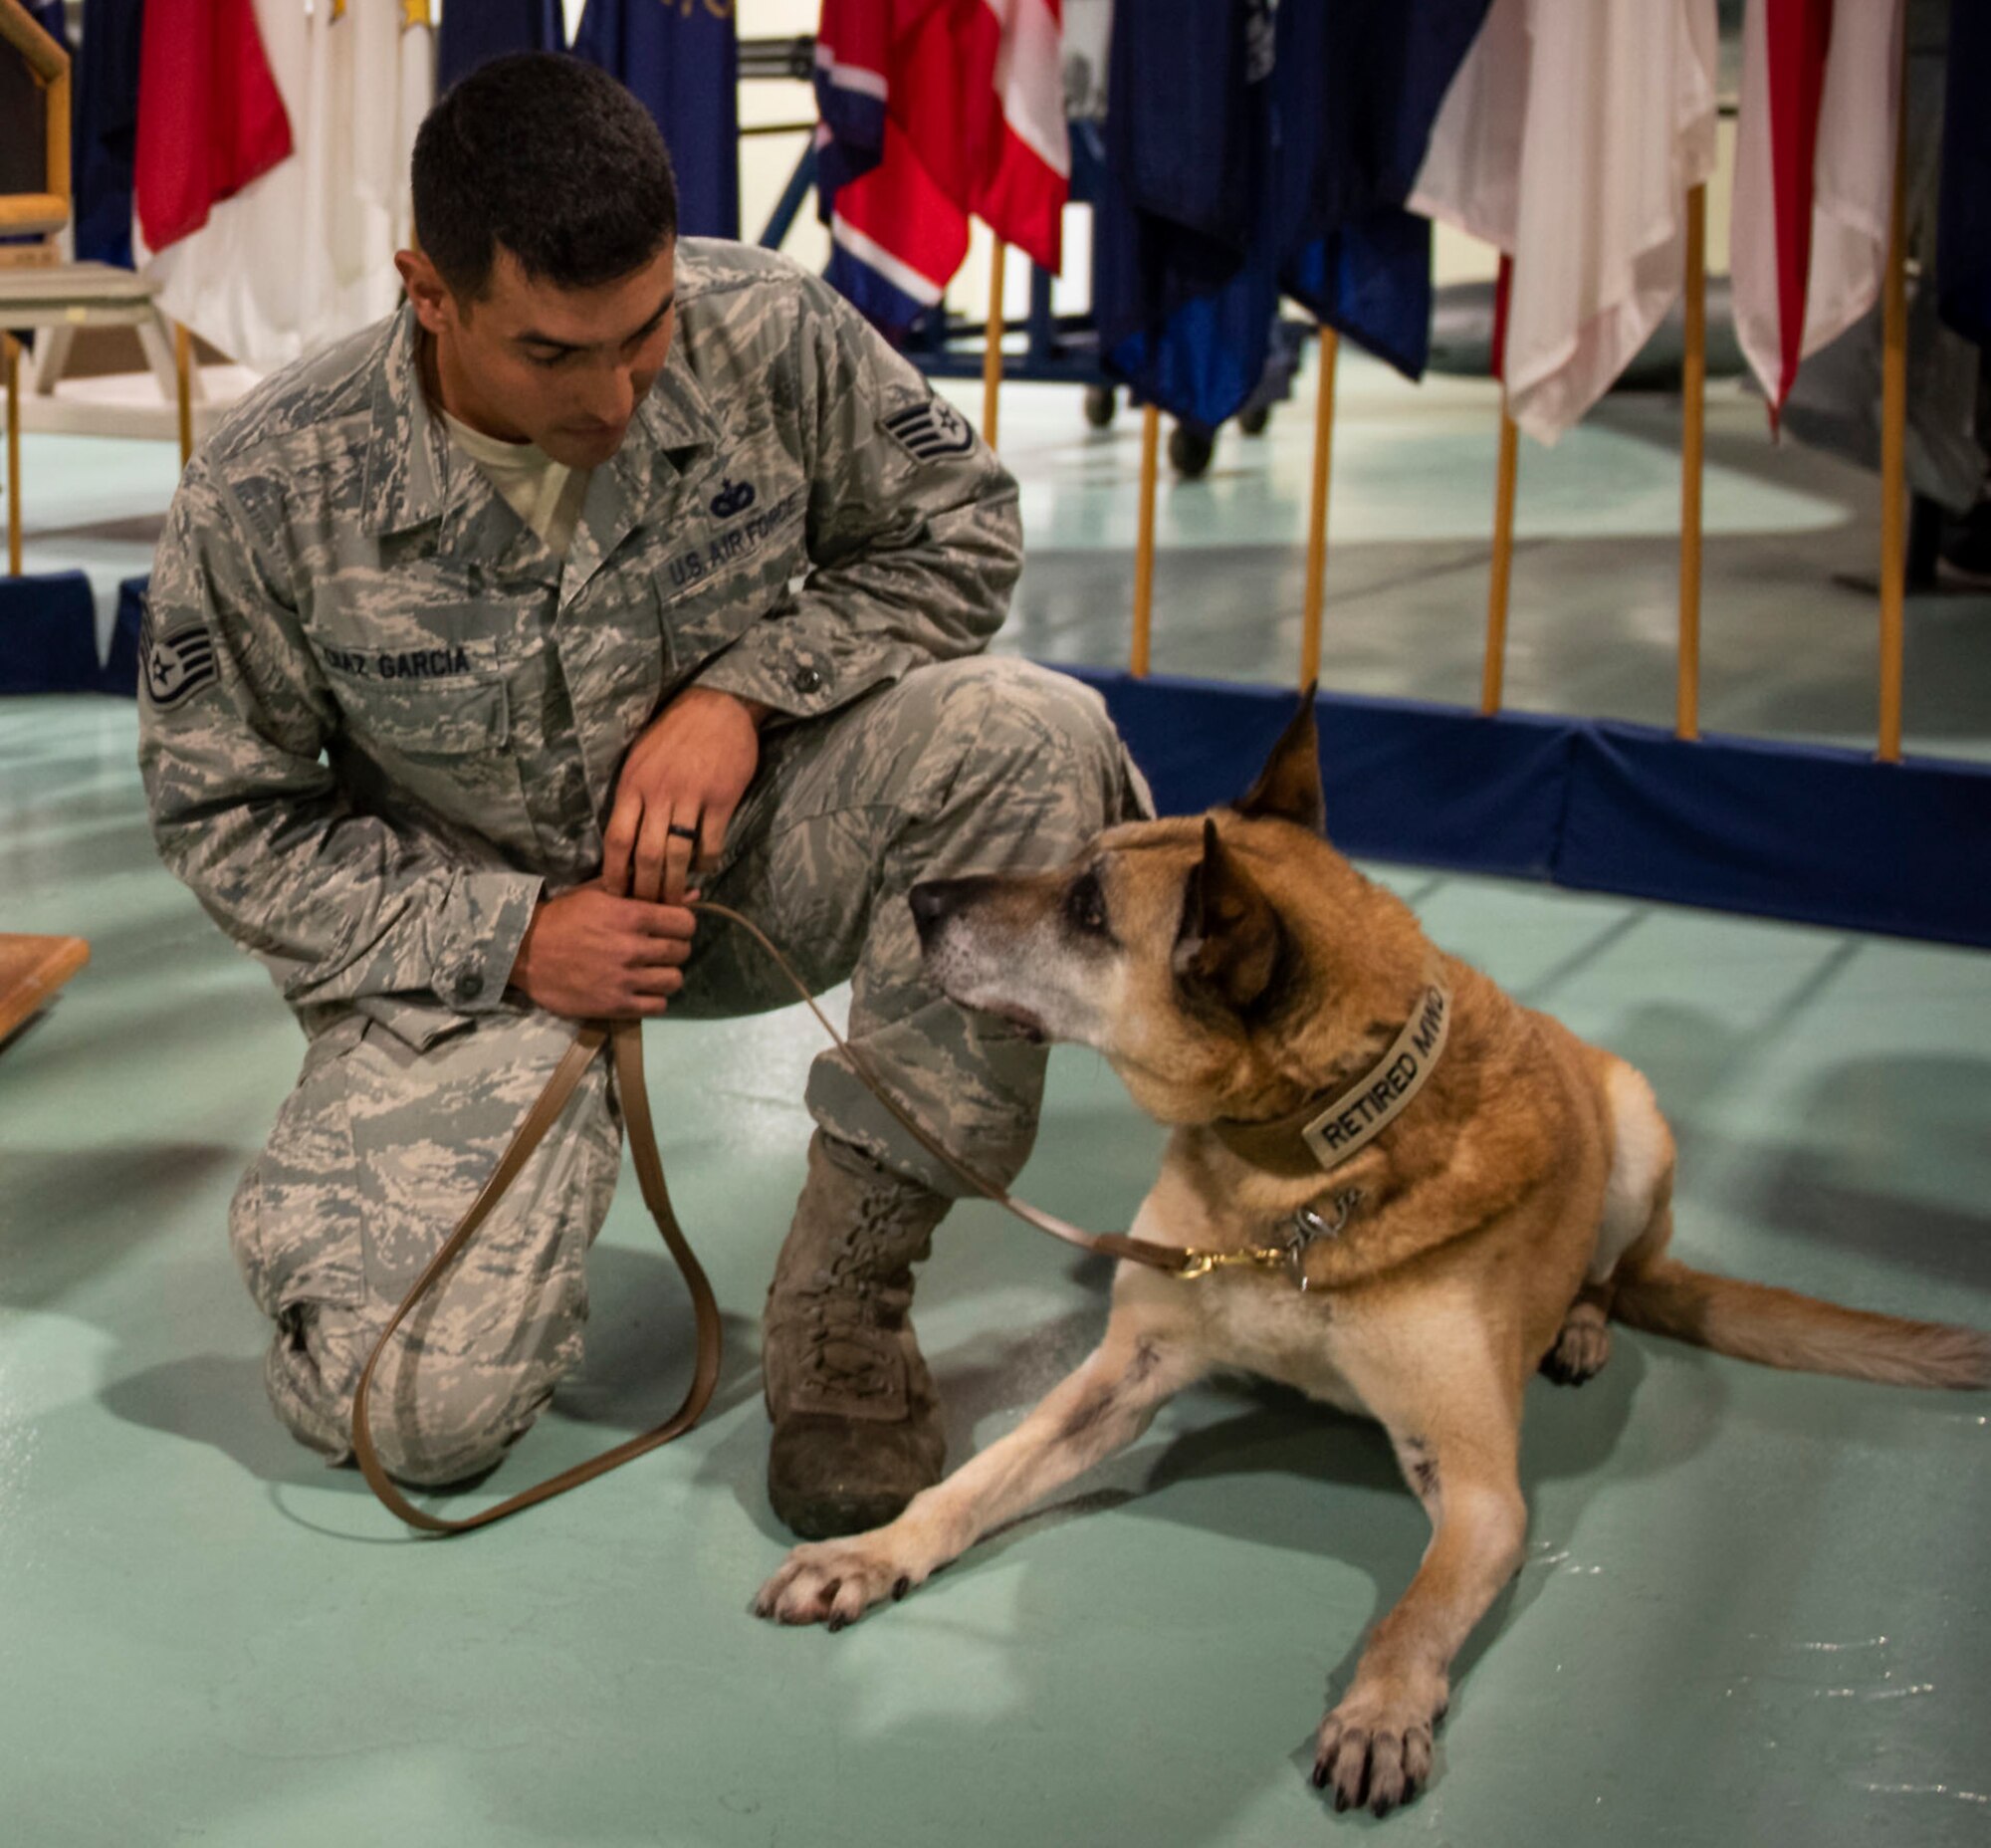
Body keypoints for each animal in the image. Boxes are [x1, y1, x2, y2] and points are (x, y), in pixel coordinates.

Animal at [749, 701, 1991, 1808]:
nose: (920, 896)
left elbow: (1413, 1611)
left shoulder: (1478, 1486)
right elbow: (974, 1479)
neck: (1300, 1187)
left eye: (1088, 908)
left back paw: (1583, 1323)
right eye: (1075, 864)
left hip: (1634, 1131)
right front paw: (874, 1548)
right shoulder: (1120, 1374)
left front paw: (1382, 1709)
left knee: (1617, 1273)